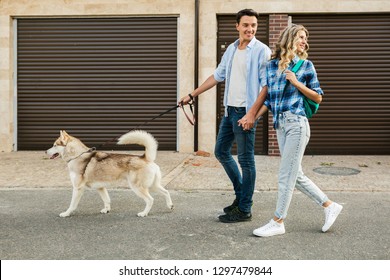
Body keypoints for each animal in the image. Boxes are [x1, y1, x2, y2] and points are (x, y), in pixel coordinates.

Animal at [46, 130, 174, 218]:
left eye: (54, 145)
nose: (45, 151)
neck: (77, 156)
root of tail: (145, 158)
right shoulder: (100, 187)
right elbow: (107, 200)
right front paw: (106, 210)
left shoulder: (77, 188)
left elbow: (72, 204)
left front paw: (66, 213)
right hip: (153, 186)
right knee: (166, 192)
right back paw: (170, 205)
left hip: (138, 187)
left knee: (150, 199)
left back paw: (144, 213)